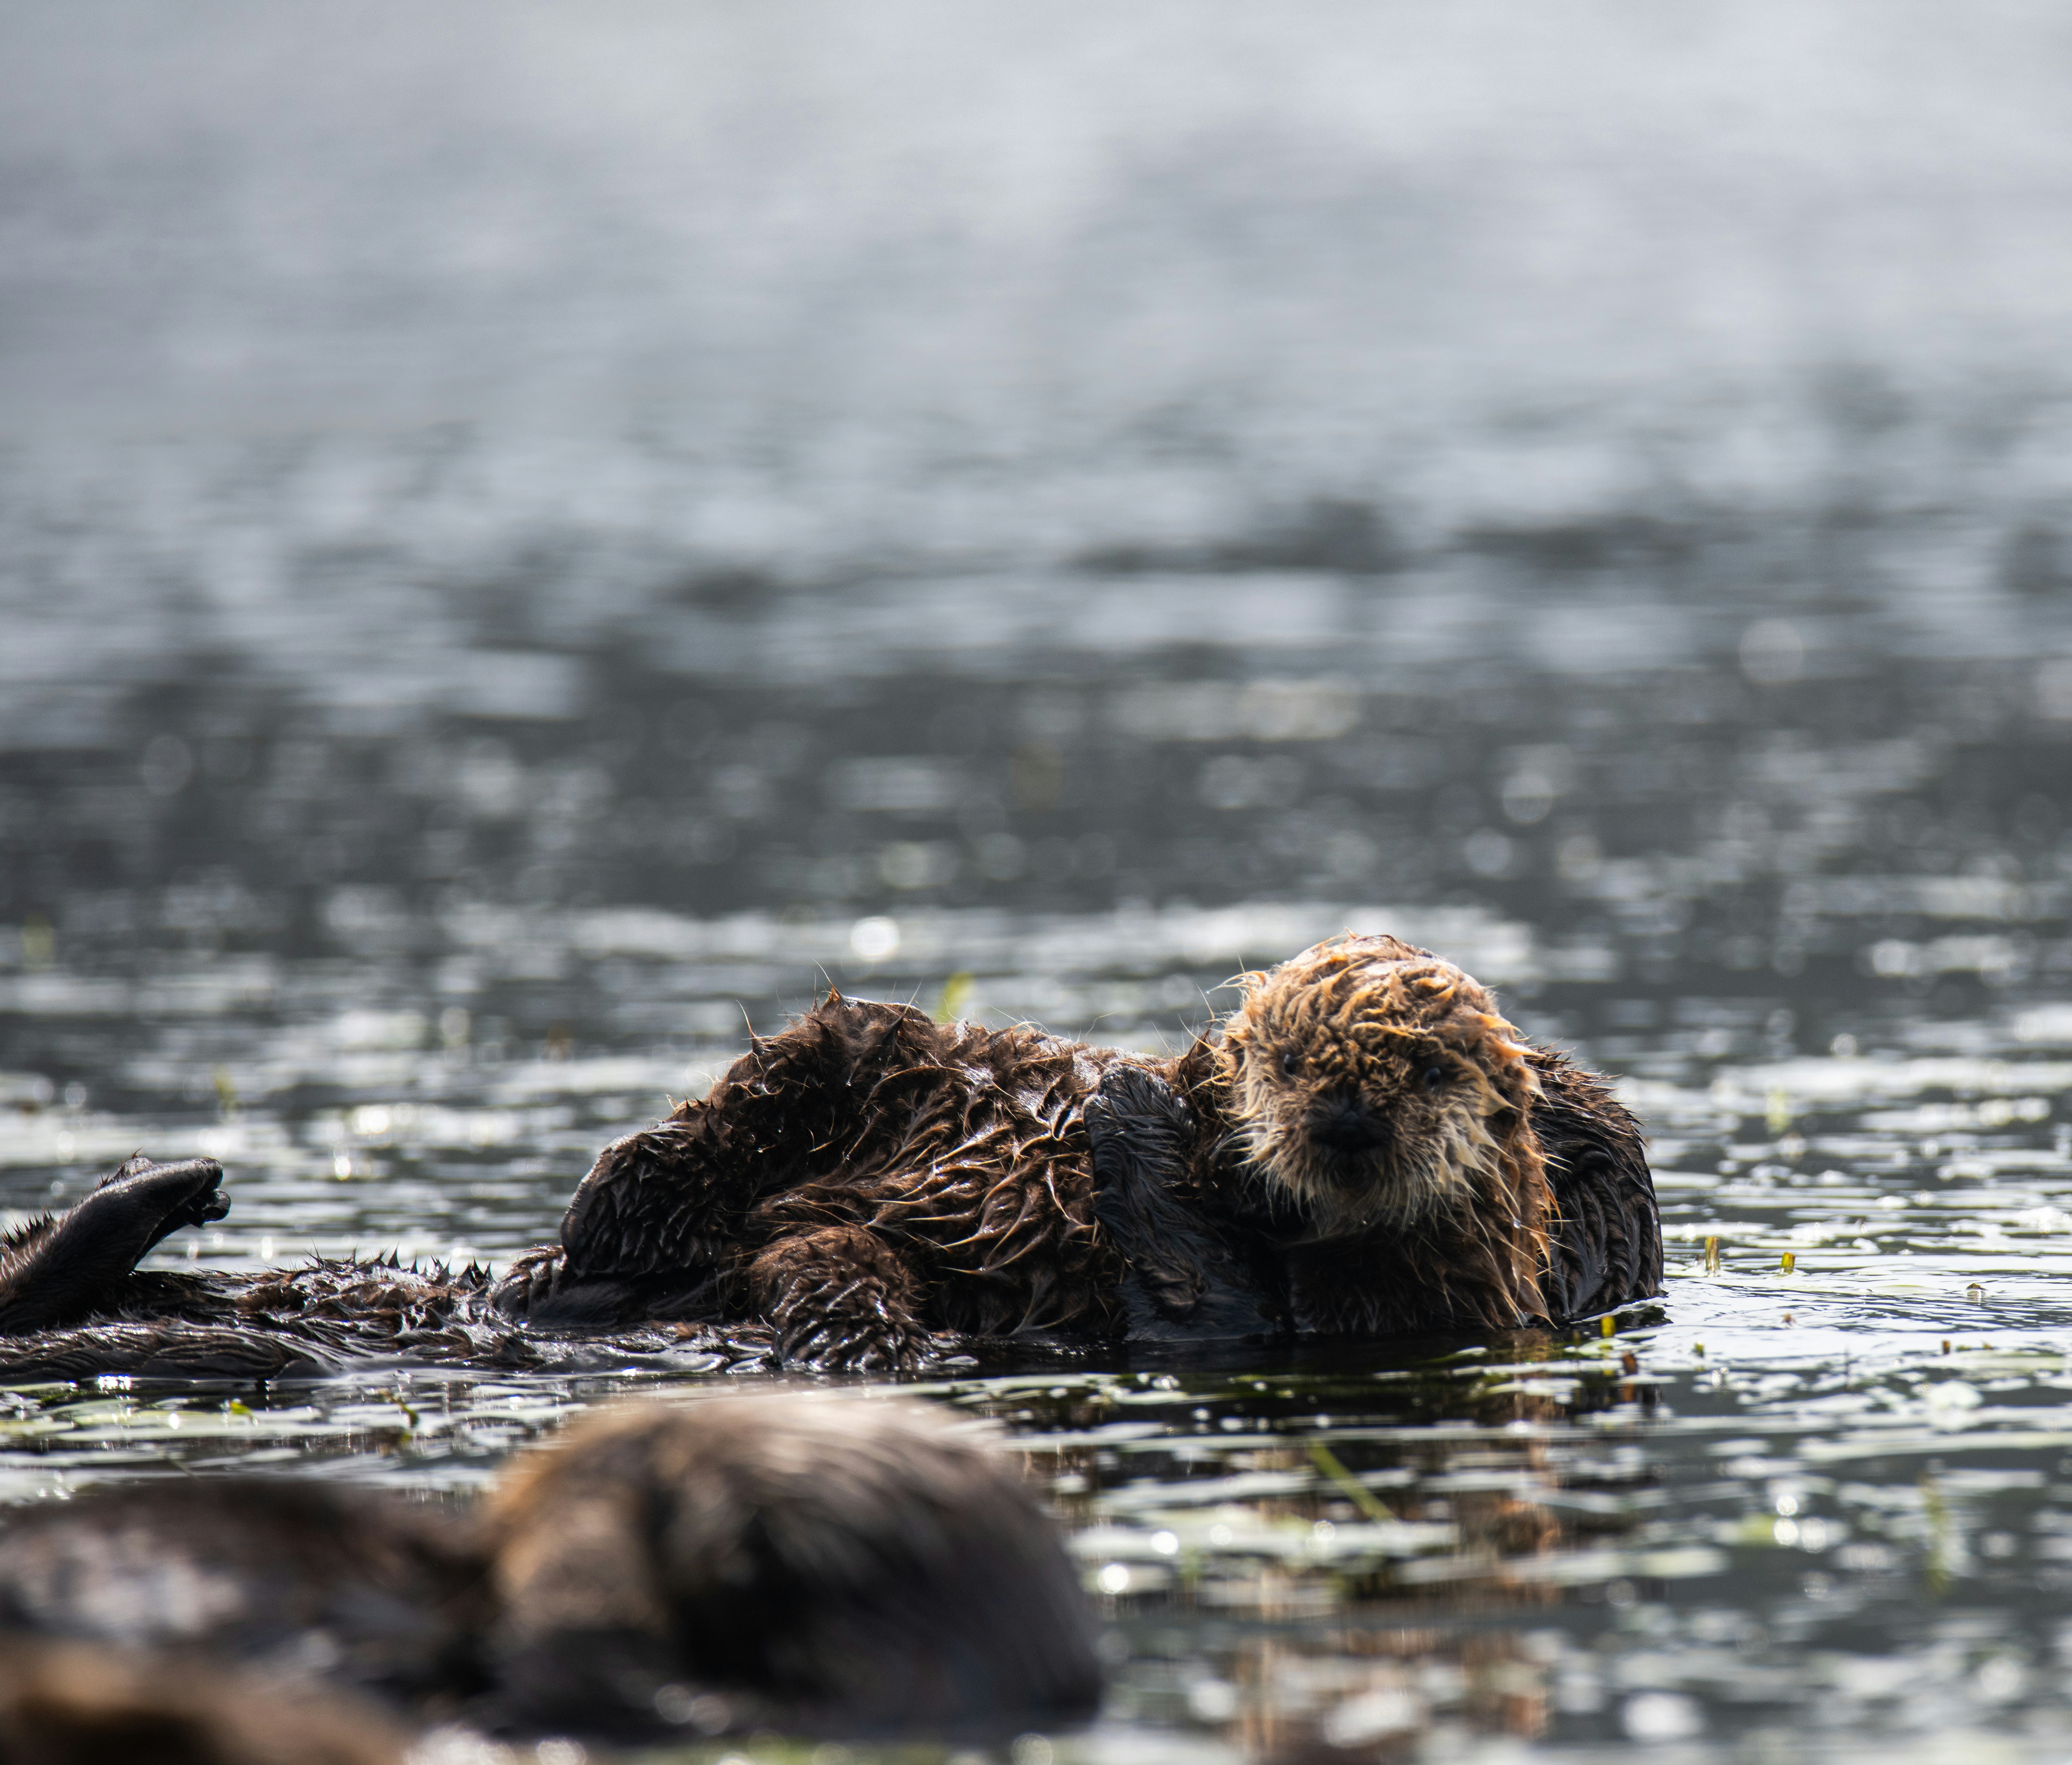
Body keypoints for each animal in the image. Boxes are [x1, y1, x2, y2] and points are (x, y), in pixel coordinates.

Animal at [0, 936, 1658, 1373]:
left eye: (1429, 1071)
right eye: (1295, 1053)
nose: (1345, 1116)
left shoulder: (1356, 1311)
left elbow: (1199, 1286)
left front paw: (1132, 1109)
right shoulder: (932, 1071)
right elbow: (838, 1047)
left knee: (843, 1296)